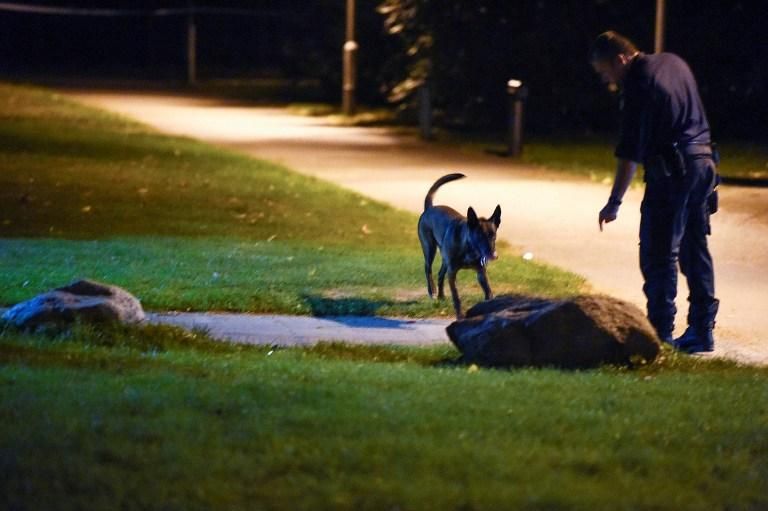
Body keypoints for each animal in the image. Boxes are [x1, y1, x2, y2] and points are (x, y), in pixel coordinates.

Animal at [416, 176, 500, 320]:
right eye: (479, 235)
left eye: (493, 235)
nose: (493, 255)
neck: (468, 247)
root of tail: (429, 208)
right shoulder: (452, 273)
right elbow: (456, 296)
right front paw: (460, 315)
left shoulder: (481, 273)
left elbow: (488, 291)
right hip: (429, 248)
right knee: (428, 269)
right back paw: (432, 291)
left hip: (444, 259)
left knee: (440, 274)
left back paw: (441, 296)